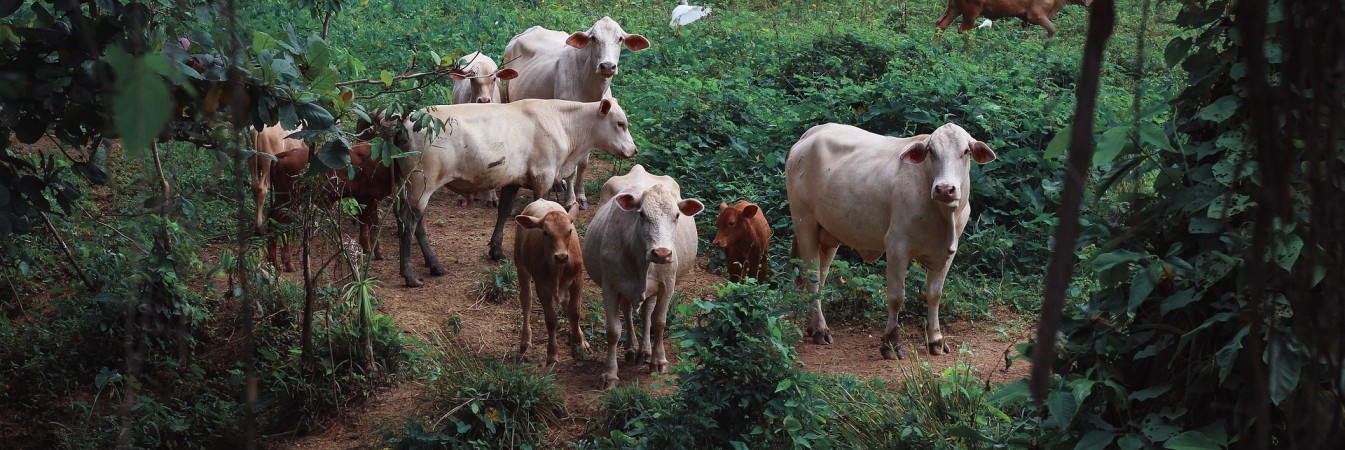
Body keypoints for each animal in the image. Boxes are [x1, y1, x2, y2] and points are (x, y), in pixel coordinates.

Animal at [266, 143, 392, 272]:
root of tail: (282, 155)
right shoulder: (370, 198)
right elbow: (373, 223)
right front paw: (378, 253)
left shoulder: (363, 198)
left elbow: (364, 220)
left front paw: (366, 248)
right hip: (290, 202)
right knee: (282, 225)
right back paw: (289, 265)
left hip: (282, 199)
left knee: (272, 221)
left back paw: (273, 262)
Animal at [505, 15, 650, 209]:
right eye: (593, 38)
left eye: (620, 38)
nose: (607, 66)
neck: (589, 89)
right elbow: (572, 170)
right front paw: (570, 199)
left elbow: (583, 164)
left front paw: (581, 196)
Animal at [583, 163, 704, 389]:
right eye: (641, 214)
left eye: (677, 215)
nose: (662, 253)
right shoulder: (610, 286)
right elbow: (613, 330)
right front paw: (609, 373)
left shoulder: (667, 284)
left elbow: (659, 321)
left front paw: (658, 360)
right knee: (628, 311)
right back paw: (632, 349)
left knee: (646, 313)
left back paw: (645, 351)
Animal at [785, 122, 995, 360]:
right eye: (931, 151)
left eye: (966, 151)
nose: (944, 189)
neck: (942, 216)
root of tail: (811, 133)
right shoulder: (896, 247)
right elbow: (896, 296)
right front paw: (891, 343)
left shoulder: (947, 252)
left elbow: (935, 295)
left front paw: (936, 340)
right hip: (804, 223)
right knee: (811, 277)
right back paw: (820, 329)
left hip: (828, 235)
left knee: (820, 277)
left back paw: (813, 325)